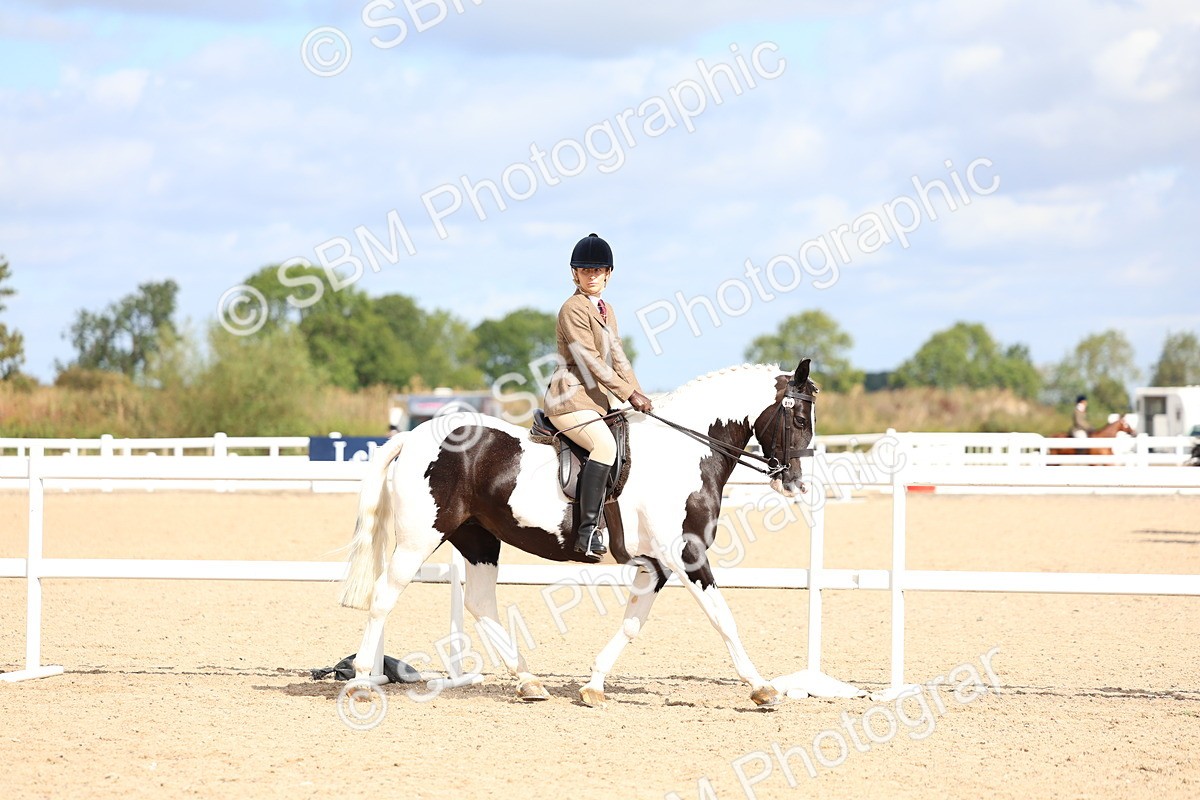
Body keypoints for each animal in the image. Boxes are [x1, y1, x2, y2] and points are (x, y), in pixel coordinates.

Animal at [339, 359, 817, 708]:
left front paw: (594, 686)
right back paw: (361, 681)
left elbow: (632, 625)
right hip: (419, 539)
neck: (684, 453)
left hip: (478, 539)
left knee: (479, 603)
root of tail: (413, 437)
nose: (795, 483)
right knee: (384, 597)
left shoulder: (657, 565)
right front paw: (762, 688)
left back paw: (528, 682)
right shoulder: (687, 556)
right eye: (799, 419)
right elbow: (723, 619)